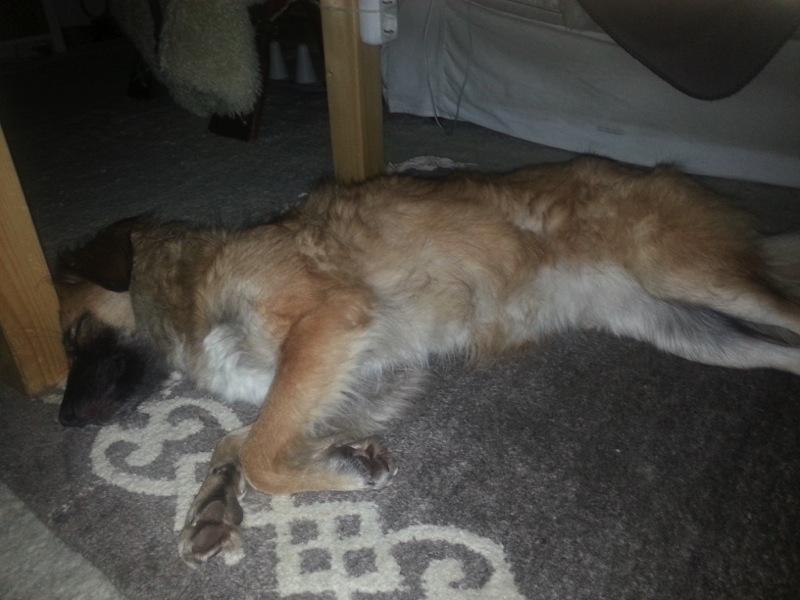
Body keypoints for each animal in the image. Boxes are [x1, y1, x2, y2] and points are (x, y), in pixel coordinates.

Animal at [54, 156, 800, 565]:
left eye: (70, 333)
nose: (60, 423)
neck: (190, 285)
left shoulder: (330, 320)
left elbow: (264, 454)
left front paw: (343, 474)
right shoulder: (363, 375)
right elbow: (235, 440)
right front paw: (214, 508)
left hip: (691, 276)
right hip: (687, 329)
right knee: (782, 351)